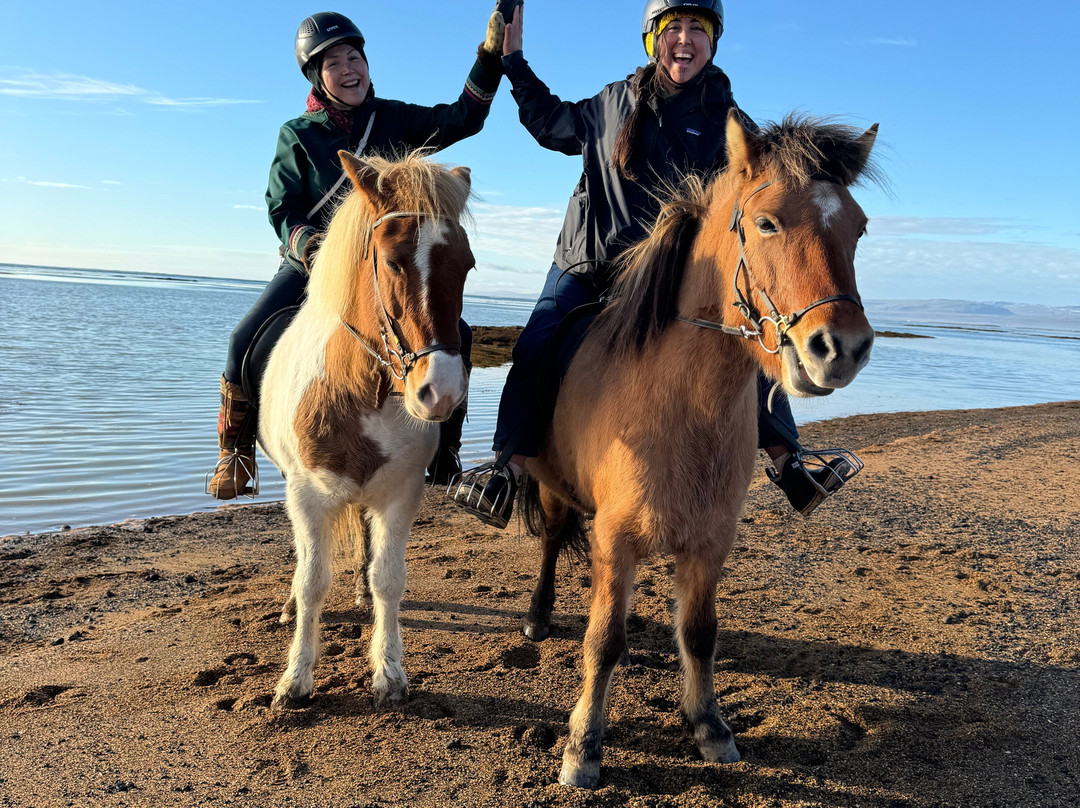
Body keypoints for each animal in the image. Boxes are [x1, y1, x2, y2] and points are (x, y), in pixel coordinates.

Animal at [259, 150, 475, 708]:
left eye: (466, 265)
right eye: (393, 260)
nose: (440, 392)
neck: (359, 389)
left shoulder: (401, 494)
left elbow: (388, 579)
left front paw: (389, 672)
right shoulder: (306, 496)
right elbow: (312, 580)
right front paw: (296, 679)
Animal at [518, 110, 881, 786]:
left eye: (858, 227)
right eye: (766, 222)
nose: (840, 348)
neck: (679, 406)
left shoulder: (712, 541)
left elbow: (699, 632)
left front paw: (709, 725)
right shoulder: (616, 539)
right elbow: (603, 642)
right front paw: (583, 746)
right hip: (553, 489)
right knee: (553, 539)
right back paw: (537, 614)